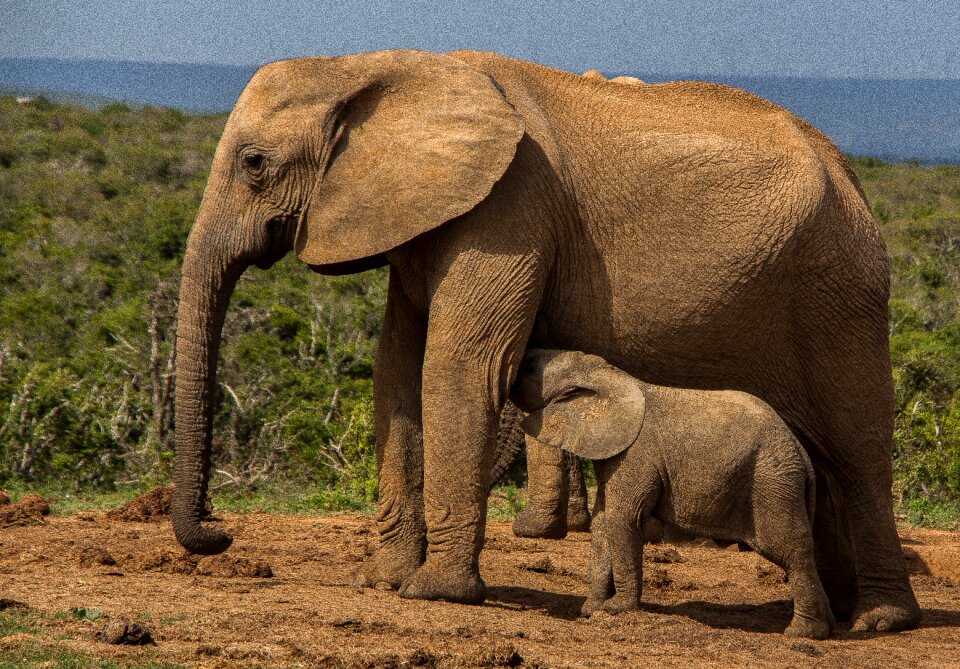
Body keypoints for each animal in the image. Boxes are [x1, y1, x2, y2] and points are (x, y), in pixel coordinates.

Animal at [512, 348, 836, 640]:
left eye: (528, 367)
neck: (606, 373)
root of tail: (801, 455)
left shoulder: (636, 454)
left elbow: (621, 519)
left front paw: (617, 609)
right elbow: (603, 522)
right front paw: (592, 610)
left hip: (772, 483)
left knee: (790, 549)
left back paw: (802, 633)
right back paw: (828, 627)